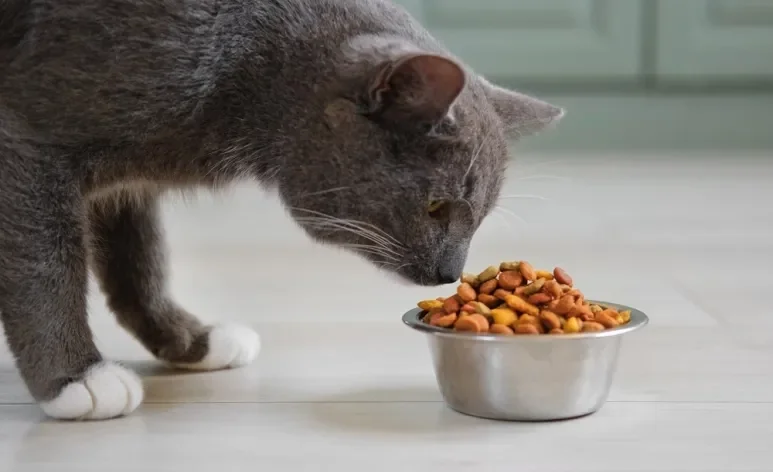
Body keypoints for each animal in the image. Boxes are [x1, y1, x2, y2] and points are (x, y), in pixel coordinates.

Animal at [3, 0, 564, 420]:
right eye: (435, 207)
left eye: (480, 217)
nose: (450, 272)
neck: (236, 67)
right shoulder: (30, 138)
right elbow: (45, 264)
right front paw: (77, 378)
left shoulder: (130, 182)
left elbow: (140, 261)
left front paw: (193, 342)